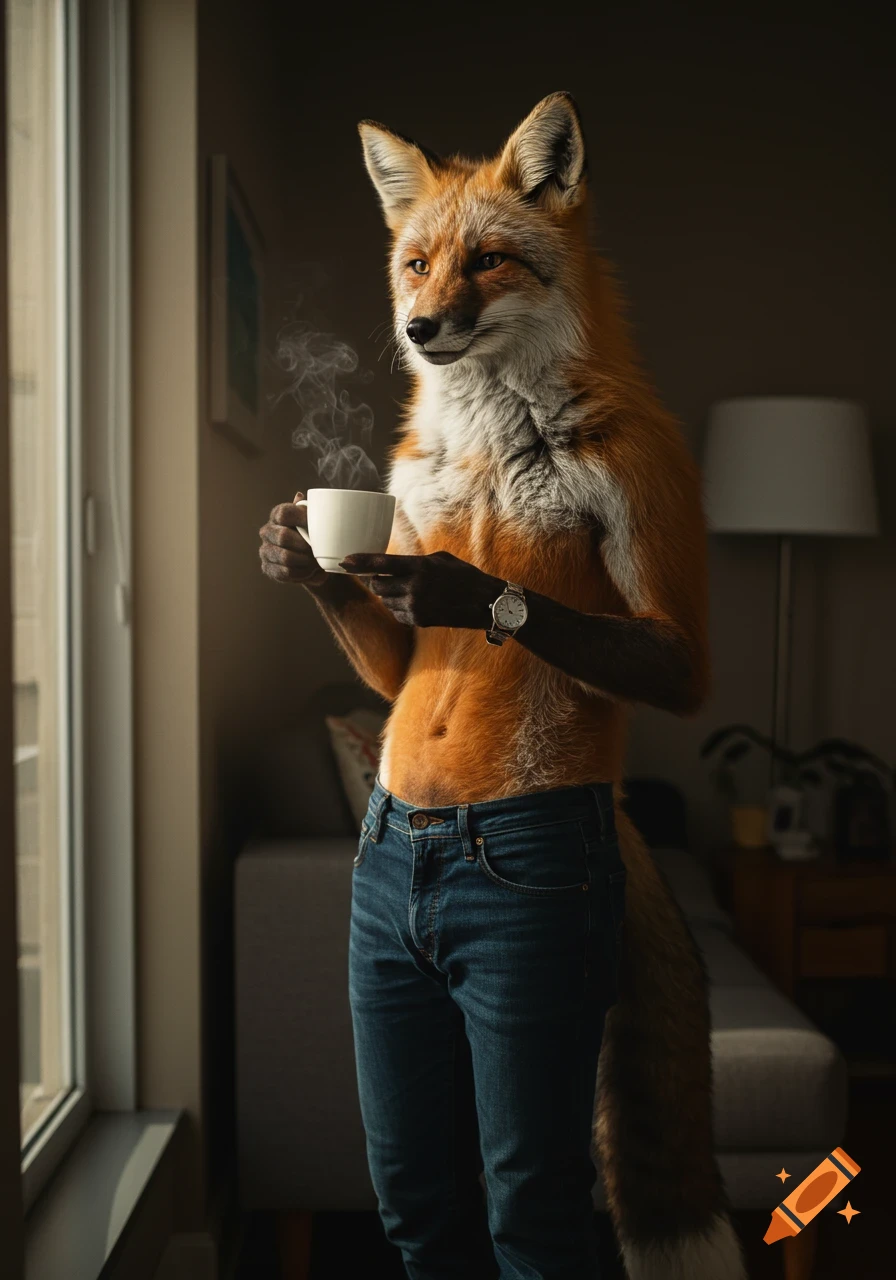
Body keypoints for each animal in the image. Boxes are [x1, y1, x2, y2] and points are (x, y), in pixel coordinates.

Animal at [260, 92, 746, 1279]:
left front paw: (465, 589)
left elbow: (646, 646)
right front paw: (299, 552)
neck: (487, 446)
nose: (420, 328)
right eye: (418, 264)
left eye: (487, 261)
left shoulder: (650, 500)